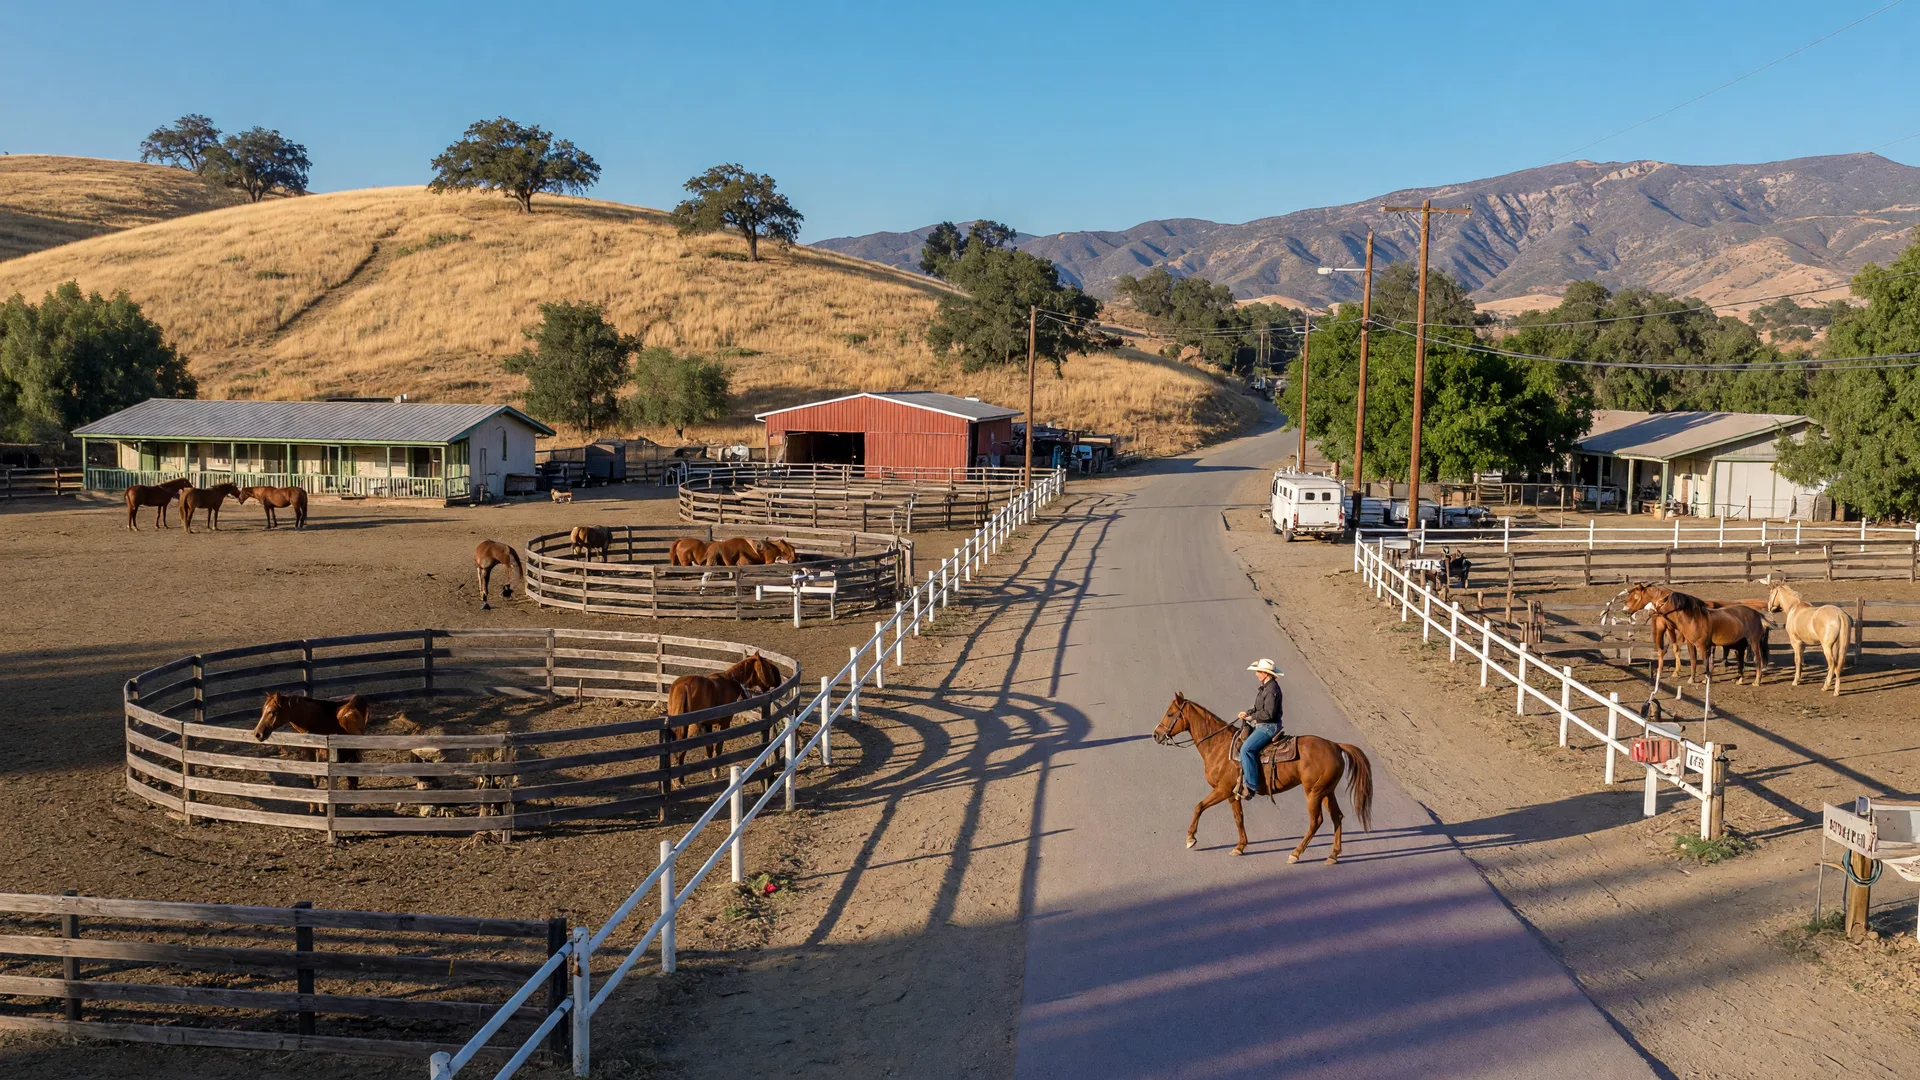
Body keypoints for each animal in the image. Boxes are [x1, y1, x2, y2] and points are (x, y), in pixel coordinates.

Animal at [664, 653, 783, 784]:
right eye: (766, 665)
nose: (778, 678)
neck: (731, 681)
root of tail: (683, 686)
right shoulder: (725, 723)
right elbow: (718, 747)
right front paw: (716, 771)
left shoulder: (707, 724)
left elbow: (709, 748)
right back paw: (679, 779)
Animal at [1153, 693, 1373, 862]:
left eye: (1170, 713)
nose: (1156, 735)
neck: (1219, 746)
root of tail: (1335, 745)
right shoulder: (1233, 794)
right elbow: (1239, 818)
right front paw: (1240, 846)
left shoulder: (1222, 790)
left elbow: (1199, 806)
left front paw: (1191, 838)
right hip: (1327, 792)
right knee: (1337, 817)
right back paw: (1333, 855)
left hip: (1314, 793)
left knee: (1316, 821)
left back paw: (1295, 853)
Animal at [1621, 583, 1768, 686]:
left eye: (1635, 597)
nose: (1625, 611)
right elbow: (1683, 656)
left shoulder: (1670, 629)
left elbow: (1674, 649)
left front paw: (1675, 672)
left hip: (1751, 643)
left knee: (1758, 658)